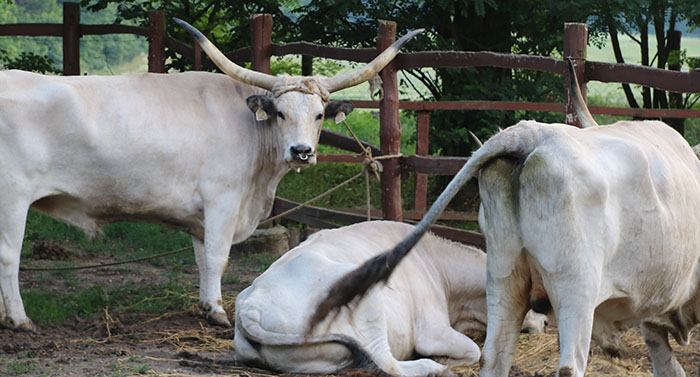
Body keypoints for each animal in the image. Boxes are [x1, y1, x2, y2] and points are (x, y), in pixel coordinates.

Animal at [0, 19, 422, 332]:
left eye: (319, 115)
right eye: (280, 113)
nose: (302, 151)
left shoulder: (200, 215)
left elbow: (203, 260)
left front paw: (205, 305)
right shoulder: (223, 201)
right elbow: (219, 257)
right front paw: (219, 312)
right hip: (12, 199)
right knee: (9, 256)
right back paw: (20, 320)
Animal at [235, 220, 548, 376]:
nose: (546, 323)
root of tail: (251, 305)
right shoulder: (433, 331)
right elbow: (474, 351)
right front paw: (443, 360)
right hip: (367, 299)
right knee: (388, 363)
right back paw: (434, 368)